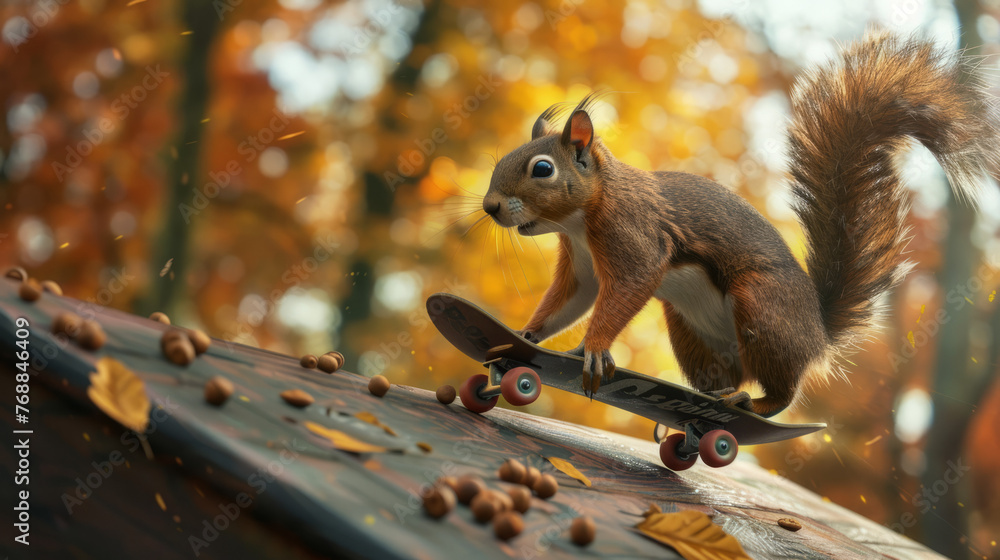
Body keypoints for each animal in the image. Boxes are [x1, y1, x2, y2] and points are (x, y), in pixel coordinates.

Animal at [480, 32, 1000, 417]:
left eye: (542, 169)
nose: (489, 207)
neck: (579, 221)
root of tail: (818, 332)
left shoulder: (634, 235)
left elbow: (627, 286)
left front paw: (594, 348)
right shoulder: (582, 266)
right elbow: (569, 301)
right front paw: (527, 336)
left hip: (762, 307)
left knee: (781, 393)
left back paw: (751, 403)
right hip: (691, 329)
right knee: (728, 378)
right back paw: (709, 398)